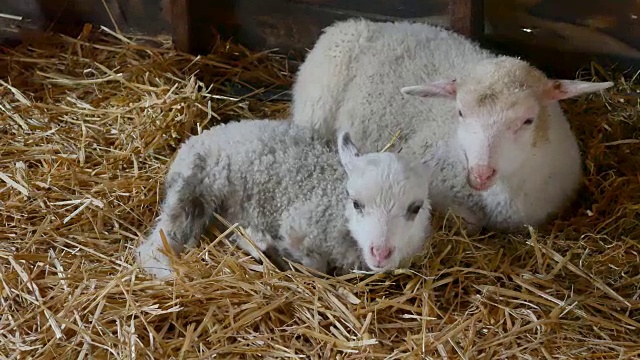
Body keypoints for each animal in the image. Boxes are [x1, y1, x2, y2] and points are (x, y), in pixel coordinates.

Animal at [135, 118, 436, 278]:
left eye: (415, 208)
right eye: (356, 203)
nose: (380, 253)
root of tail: (204, 134)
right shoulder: (297, 226)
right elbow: (314, 266)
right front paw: (262, 245)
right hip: (193, 184)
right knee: (155, 245)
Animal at [288, 19, 612, 233]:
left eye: (527, 120)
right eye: (460, 112)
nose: (480, 174)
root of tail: (359, 22)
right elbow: (466, 221)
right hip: (315, 105)